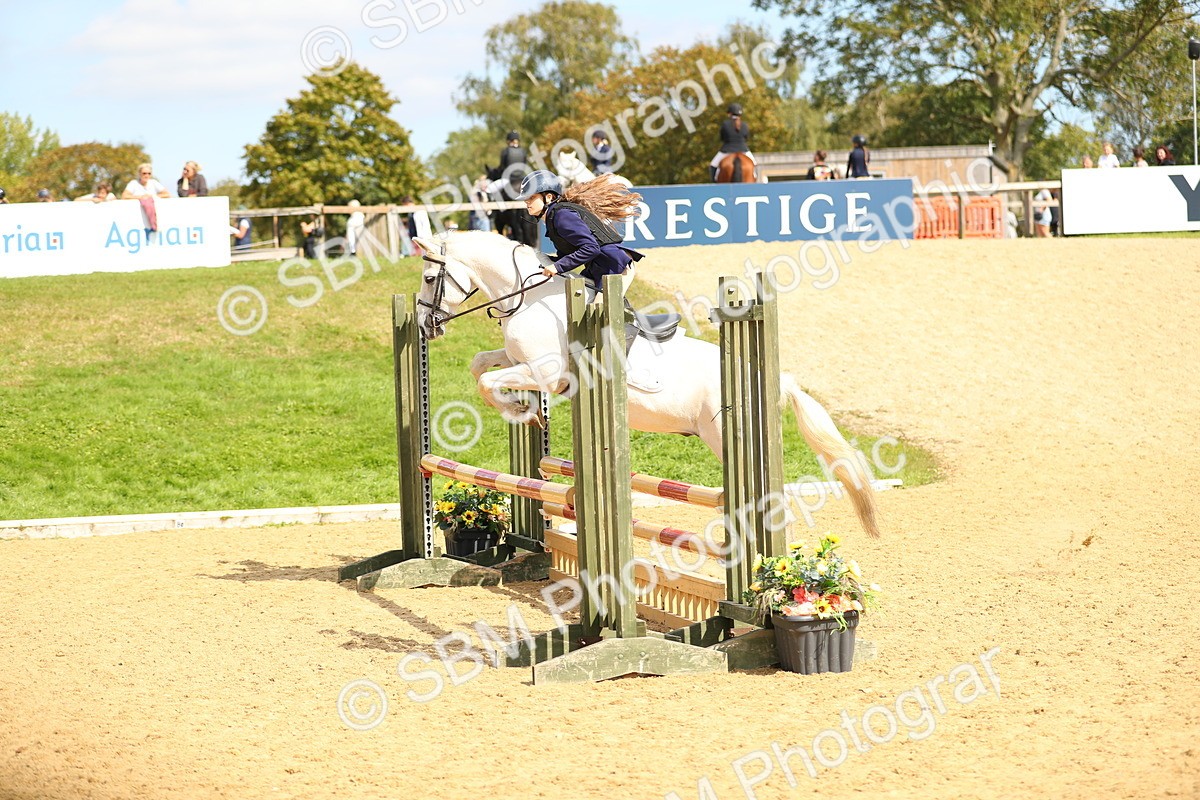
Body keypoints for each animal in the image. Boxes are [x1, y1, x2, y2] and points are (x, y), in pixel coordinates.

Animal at [412, 230, 881, 539]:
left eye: (430, 279)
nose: (424, 325)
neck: (530, 299)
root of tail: (776, 380)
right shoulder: (520, 362)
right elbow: (480, 367)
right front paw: (526, 411)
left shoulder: (545, 372)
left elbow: (488, 382)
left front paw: (522, 412)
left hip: (728, 437)